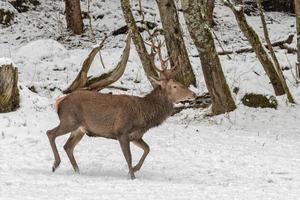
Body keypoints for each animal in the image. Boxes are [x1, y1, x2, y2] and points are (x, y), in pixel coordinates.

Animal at [46, 51, 197, 180]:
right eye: (175, 86)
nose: (194, 94)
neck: (143, 114)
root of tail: (59, 102)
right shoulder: (121, 131)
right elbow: (128, 156)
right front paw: (132, 176)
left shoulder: (135, 135)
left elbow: (147, 148)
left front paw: (135, 169)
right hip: (69, 120)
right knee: (50, 133)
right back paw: (55, 164)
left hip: (80, 129)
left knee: (68, 146)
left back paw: (77, 171)